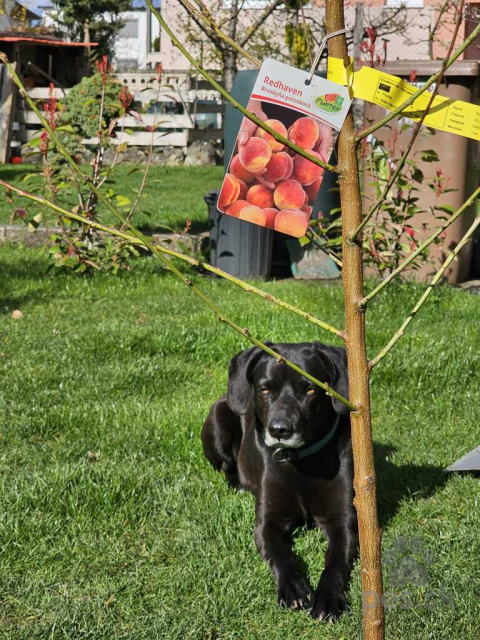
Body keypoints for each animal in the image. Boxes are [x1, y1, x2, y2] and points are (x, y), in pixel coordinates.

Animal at [201, 342, 358, 624]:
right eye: (264, 389)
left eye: (310, 389)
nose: (279, 430)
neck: (302, 462)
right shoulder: (267, 523)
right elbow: (281, 555)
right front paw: (293, 587)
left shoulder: (343, 522)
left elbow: (335, 563)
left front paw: (327, 599)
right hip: (218, 419)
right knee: (226, 466)